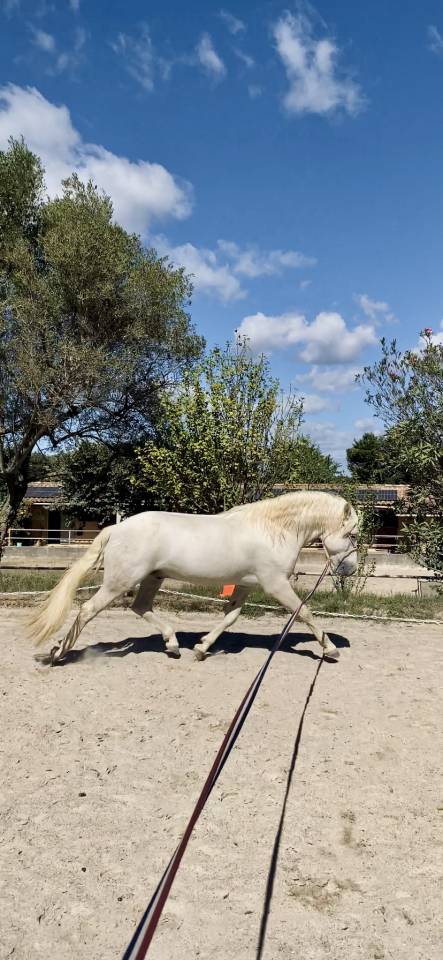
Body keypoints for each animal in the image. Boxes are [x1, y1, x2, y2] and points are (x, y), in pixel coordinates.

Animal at [27, 490, 358, 664]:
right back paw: (58, 652)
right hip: (119, 582)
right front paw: (330, 649)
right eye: (352, 534)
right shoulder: (275, 584)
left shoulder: (245, 585)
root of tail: (117, 528)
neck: (272, 531)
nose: (350, 569)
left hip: (153, 578)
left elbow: (229, 618)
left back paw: (173, 645)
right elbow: (304, 612)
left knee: (140, 607)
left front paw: (201, 648)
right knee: (87, 610)